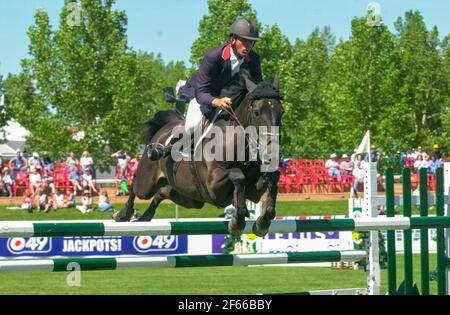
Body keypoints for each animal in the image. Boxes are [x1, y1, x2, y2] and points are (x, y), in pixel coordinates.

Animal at [113, 69, 282, 237]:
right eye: (257, 112)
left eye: (281, 112)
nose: (271, 154)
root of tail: (164, 128)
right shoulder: (214, 185)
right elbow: (237, 175)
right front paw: (237, 222)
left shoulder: (253, 192)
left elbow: (271, 178)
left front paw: (262, 222)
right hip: (147, 183)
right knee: (136, 186)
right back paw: (122, 214)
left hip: (190, 198)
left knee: (163, 192)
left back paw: (145, 216)